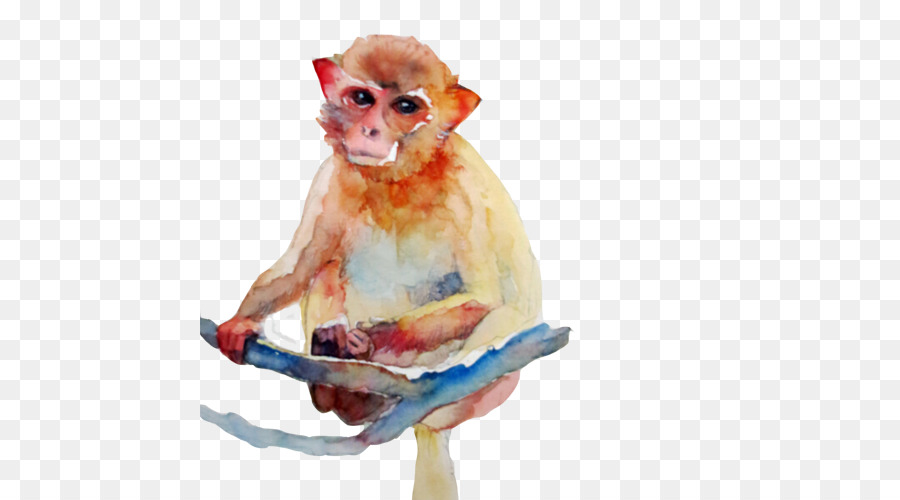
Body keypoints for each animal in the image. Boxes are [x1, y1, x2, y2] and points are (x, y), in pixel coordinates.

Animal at [216, 35, 541, 498]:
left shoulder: (465, 184)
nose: (370, 130)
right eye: (362, 98)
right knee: (329, 263)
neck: (397, 179)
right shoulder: (332, 175)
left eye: (405, 106)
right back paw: (335, 377)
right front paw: (243, 321)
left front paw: (368, 343)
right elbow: (301, 266)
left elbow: (486, 298)